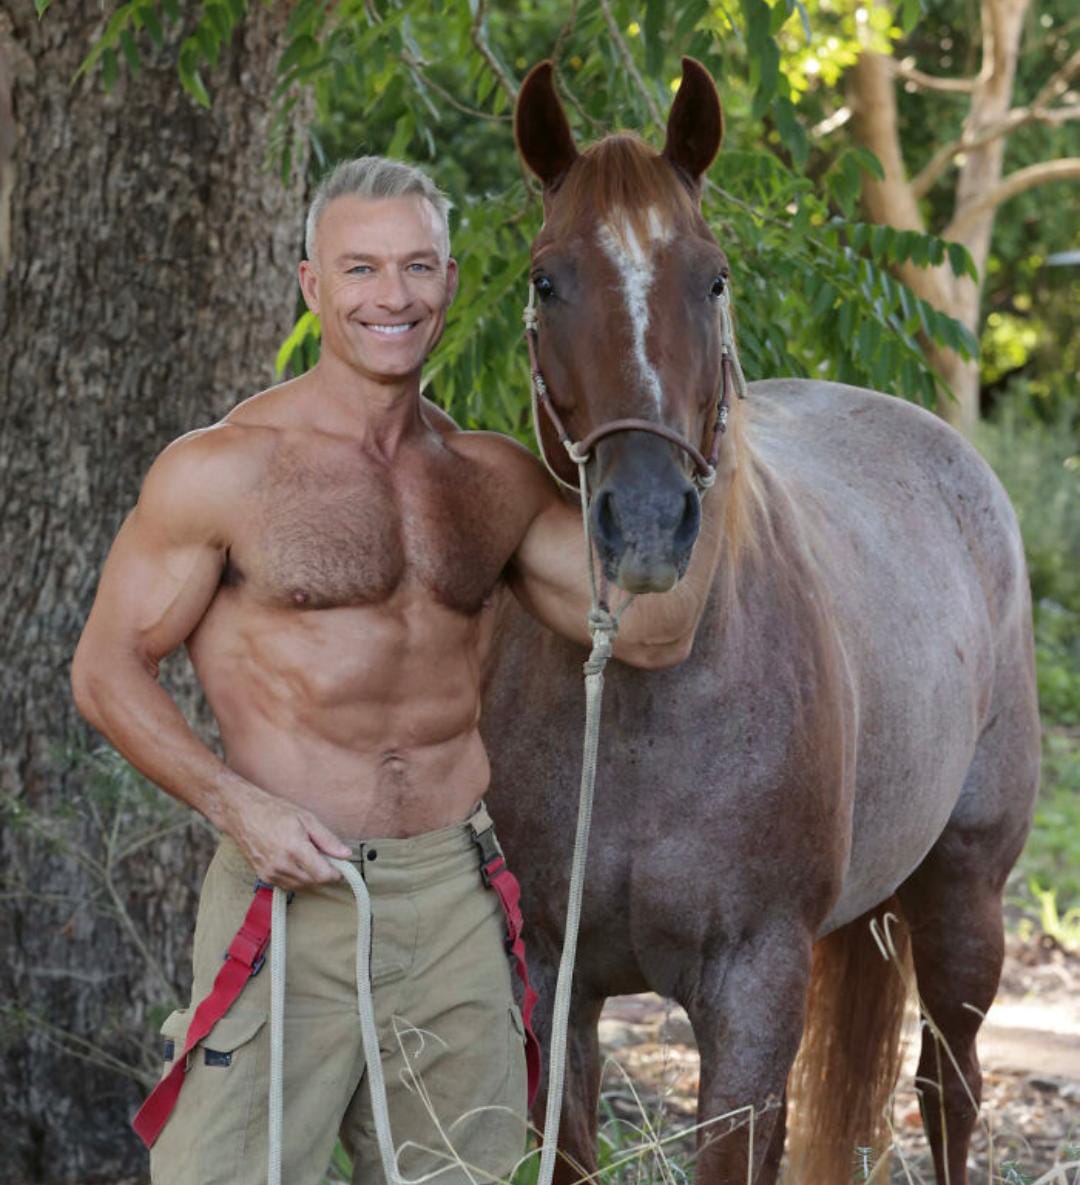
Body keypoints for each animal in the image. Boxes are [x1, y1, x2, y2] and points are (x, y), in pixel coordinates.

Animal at [481, 58, 1039, 1185]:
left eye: (714, 278)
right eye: (547, 279)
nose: (648, 524)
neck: (651, 706)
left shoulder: (752, 989)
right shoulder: (552, 983)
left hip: (965, 900)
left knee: (948, 1089)